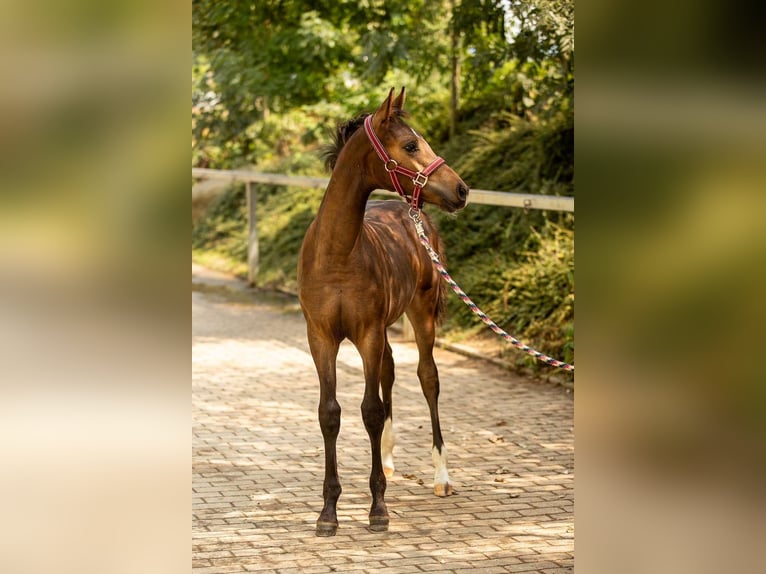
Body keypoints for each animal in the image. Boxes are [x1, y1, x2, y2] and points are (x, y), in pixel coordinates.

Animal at [297, 87, 469, 536]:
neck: (338, 254)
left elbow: (370, 411)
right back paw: (389, 462)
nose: (462, 189)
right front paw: (328, 512)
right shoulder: (321, 337)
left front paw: (378, 509)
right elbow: (330, 414)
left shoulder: (367, 334)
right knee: (390, 371)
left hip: (420, 314)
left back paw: (441, 476)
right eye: (409, 145)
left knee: (427, 378)